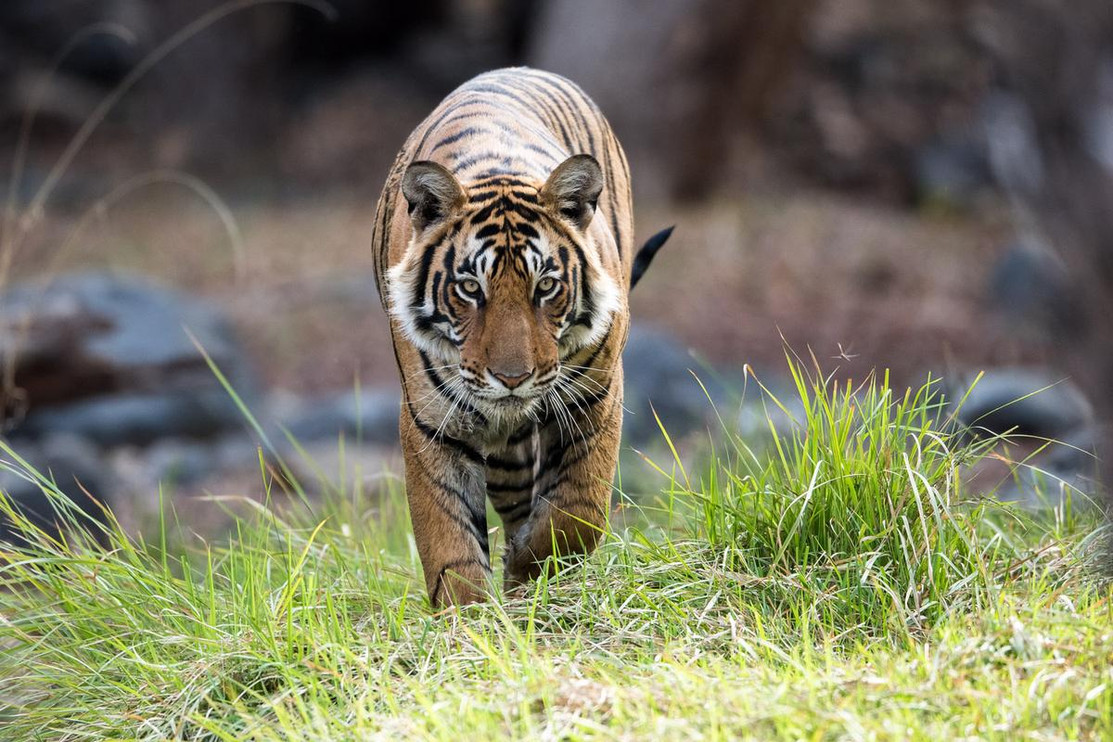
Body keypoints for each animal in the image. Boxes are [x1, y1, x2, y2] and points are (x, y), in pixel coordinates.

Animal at [372, 67, 669, 608]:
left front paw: (537, 572)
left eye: (545, 286)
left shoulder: (597, 396)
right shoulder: (432, 420)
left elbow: (577, 512)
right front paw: (469, 618)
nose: (513, 379)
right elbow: (448, 542)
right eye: (470, 288)